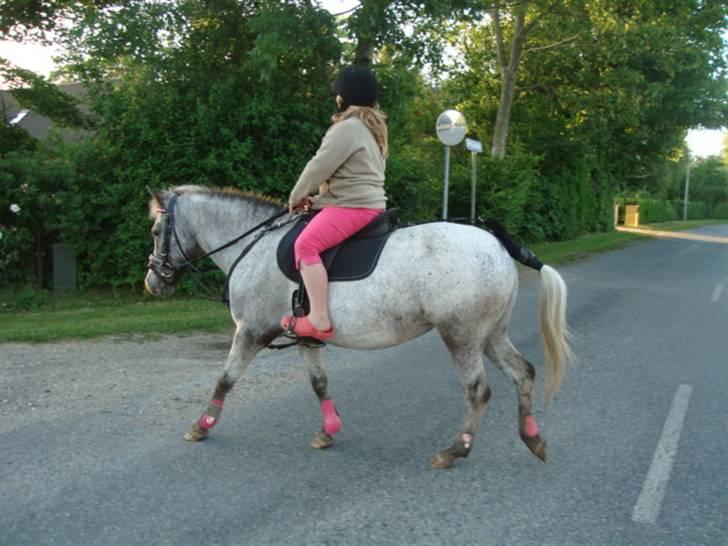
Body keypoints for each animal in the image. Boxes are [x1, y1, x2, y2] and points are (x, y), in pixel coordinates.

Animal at [144, 186, 576, 468]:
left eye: (155, 232)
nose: (153, 281)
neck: (255, 245)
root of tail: (497, 245)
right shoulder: (306, 336)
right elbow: (319, 383)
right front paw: (329, 430)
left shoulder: (250, 331)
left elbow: (225, 380)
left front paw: (201, 425)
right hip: (491, 334)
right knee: (523, 373)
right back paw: (533, 438)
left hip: (463, 336)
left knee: (478, 391)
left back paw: (455, 450)